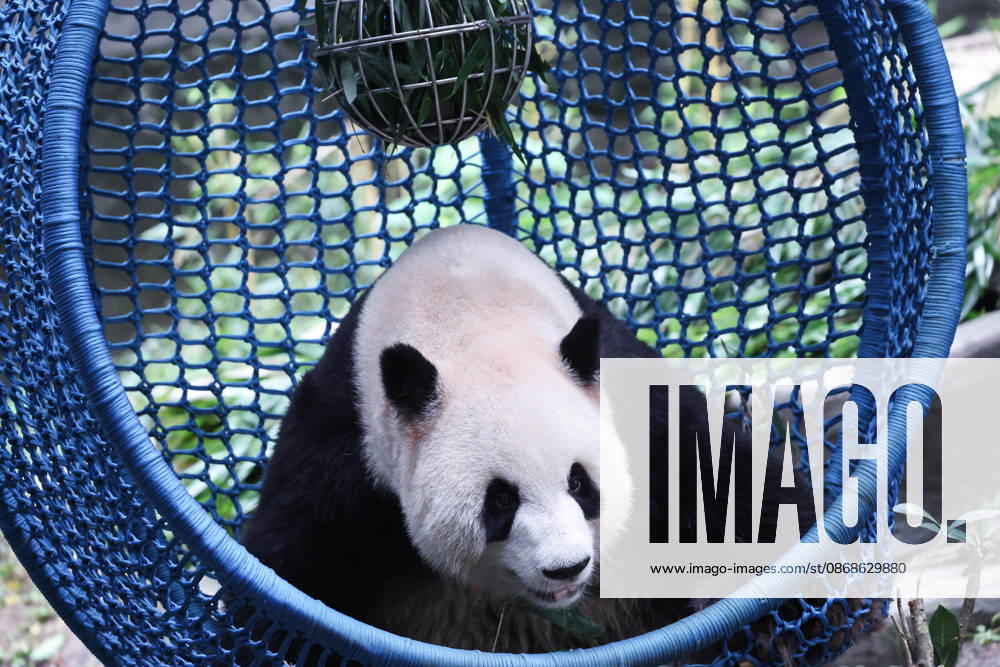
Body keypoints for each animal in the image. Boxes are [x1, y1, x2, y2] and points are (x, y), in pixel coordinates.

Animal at [240, 224, 761, 654]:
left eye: (579, 483)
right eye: (501, 500)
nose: (566, 568)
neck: (471, 323)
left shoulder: (635, 400)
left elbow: (728, 481)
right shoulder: (344, 446)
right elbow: (289, 565)